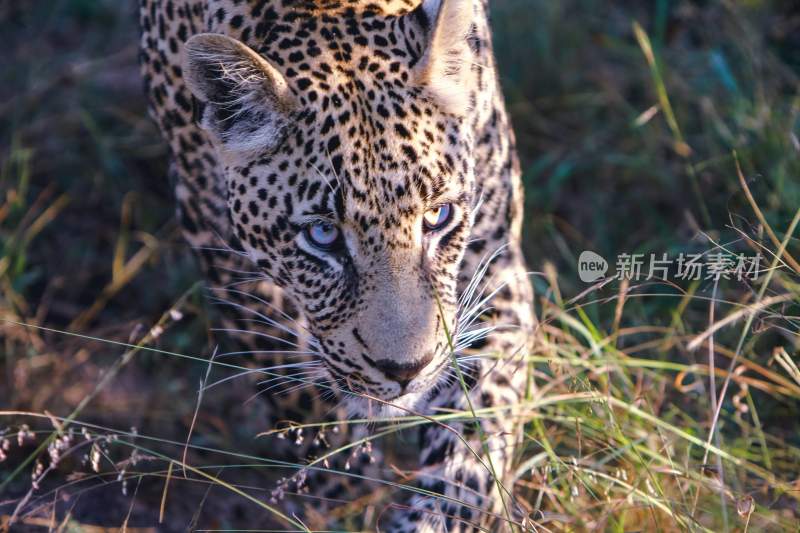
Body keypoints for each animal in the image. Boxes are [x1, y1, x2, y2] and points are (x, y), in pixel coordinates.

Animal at [139, 1, 536, 528]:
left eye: (437, 217)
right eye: (322, 235)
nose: (406, 370)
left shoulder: (492, 262)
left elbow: (477, 434)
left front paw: (435, 514)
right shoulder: (220, 247)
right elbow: (297, 394)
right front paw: (344, 498)